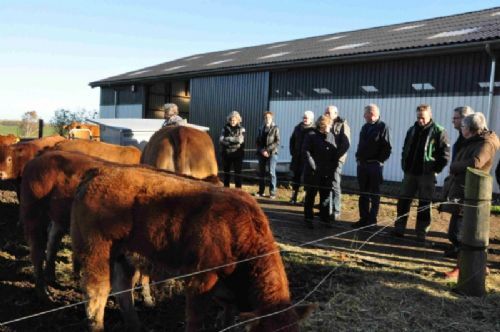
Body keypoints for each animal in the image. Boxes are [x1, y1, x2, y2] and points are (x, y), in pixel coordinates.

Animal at [71, 166, 312, 332]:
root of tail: (100, 172)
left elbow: (228, 314)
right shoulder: (200, 280)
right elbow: (196, 320)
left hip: (125, 257)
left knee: (122, 291)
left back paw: (136, 326)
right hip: (97, 253)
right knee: (96, 295)